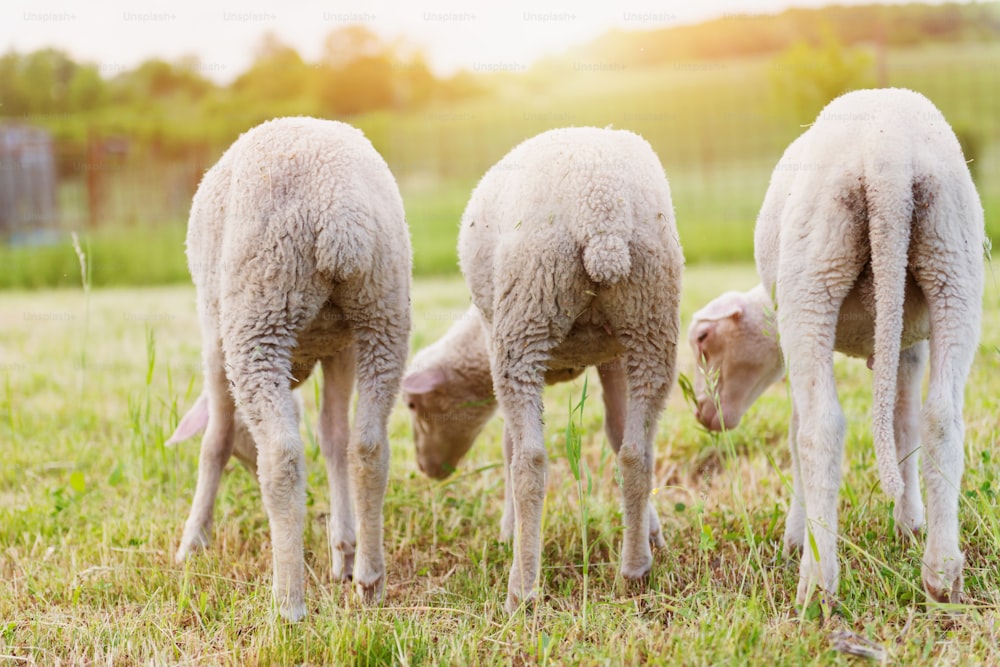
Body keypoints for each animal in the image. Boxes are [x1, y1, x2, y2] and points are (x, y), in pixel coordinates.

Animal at [166, 115, 412, 620]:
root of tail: (338, 214)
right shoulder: (340, 348)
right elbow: (333, 437)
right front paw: (343, 549)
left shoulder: (215, 339)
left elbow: (215, 441)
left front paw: (193, 541)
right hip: (383, 312)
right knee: (369, 447)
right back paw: (369, 580)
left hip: (257, 315)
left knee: (283, 457)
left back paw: (288, 603)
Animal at [402, 128, 684, 612]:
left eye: (413, 407)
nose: (427, 469)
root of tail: (601, 215)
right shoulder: (613, 354)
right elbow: (617, 435)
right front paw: (652, 533)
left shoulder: (497, 346)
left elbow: (508, 445)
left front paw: (506, 532)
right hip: (650, 319)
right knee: (638, 452)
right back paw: (634, 571)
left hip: (526, 317)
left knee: (531, 462)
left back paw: (522, 588)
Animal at [688, 90, 984, 612]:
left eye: (703, 342)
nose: (705, 416)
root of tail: (888, 155)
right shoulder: (908, 344)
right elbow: (904, 424)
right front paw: (909, 521)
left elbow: (795, 433)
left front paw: (794, 536)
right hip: (953, 262)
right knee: (942, 417)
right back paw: (942, 575)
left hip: (814, 275)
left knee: (821, 428)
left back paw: (816, 583)